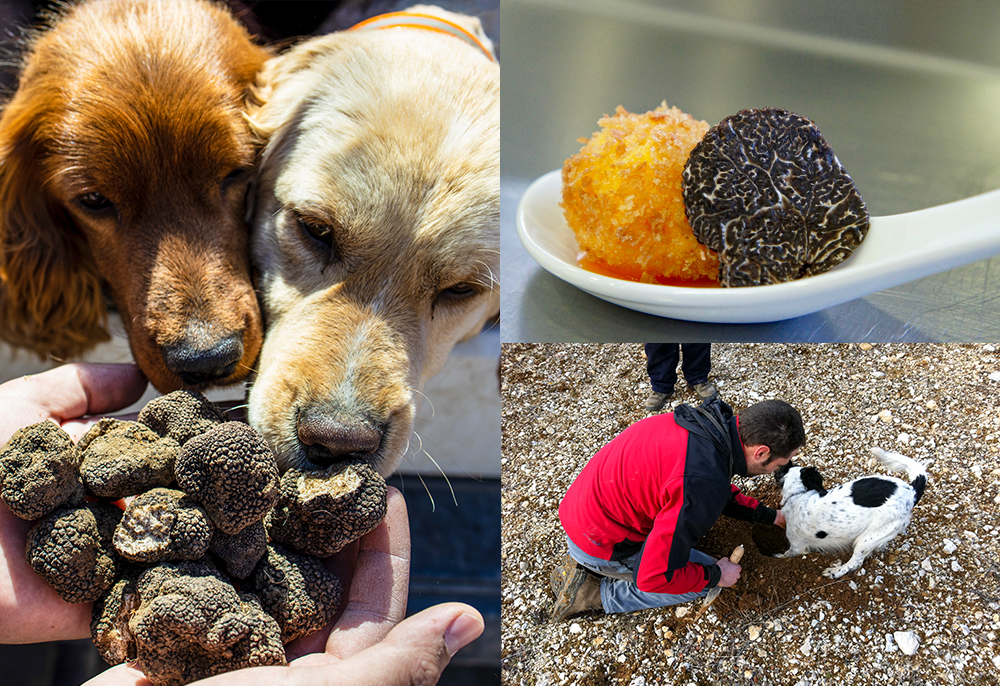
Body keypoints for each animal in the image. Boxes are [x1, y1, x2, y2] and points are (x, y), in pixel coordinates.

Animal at [772, 448, 928, 576]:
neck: (797, 495)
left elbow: (786, 554)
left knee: (855, 563)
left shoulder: (797, 547)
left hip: (868, 538)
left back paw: (835, 572)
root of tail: (911, 492)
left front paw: (777, 556)